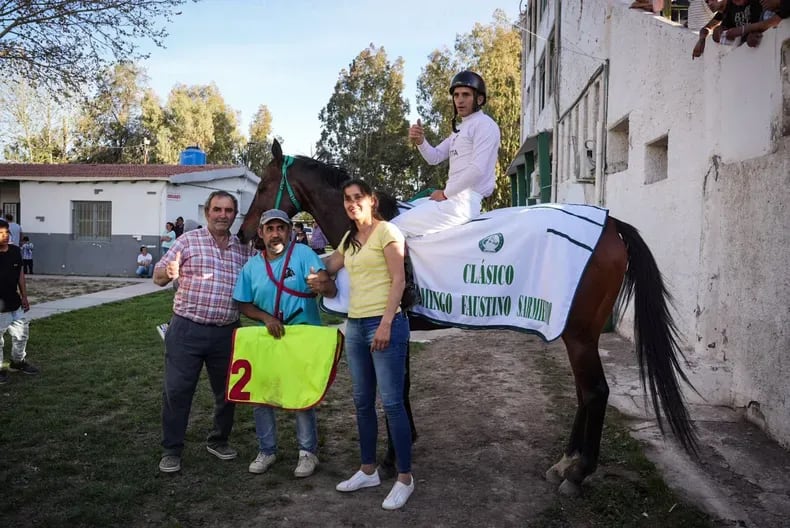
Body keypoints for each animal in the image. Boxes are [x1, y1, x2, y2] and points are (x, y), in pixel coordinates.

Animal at [240, 139, 700, 496]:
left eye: (263, 185)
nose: (247, 235)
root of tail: (610, 223)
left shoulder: (391, 332)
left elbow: (393, 392)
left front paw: (390, 459)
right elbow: (402, 390)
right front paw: (402, 448)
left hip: (581, 335)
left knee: (596, 392)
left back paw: (578, 473)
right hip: (576, 335)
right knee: (585, 394)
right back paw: (565, 463)